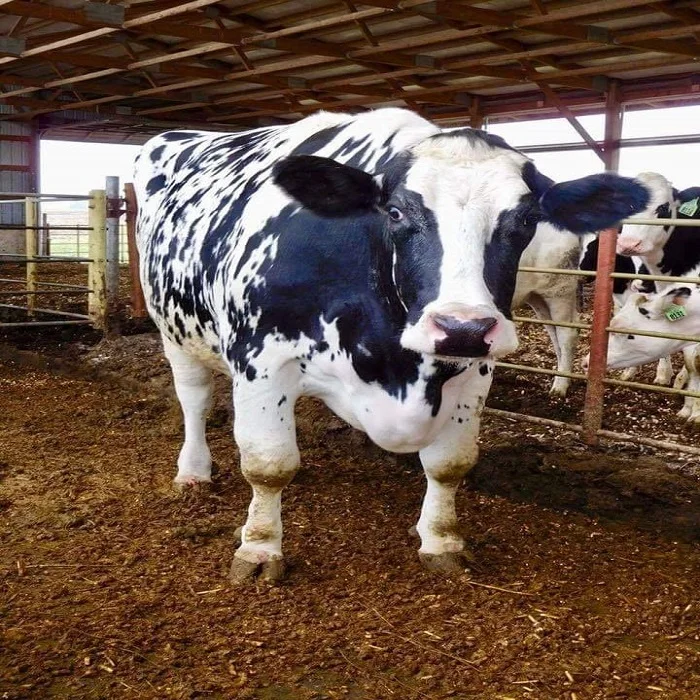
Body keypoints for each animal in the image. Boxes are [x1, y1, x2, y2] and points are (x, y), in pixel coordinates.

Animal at [134, 107, 648, 584]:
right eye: (396, 212)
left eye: (526, 218)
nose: (462, 327)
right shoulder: (261, 361)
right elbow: (268, 464)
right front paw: (260, 549)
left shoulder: (474, 372)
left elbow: (450, 463)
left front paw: (441, 540)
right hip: (174, 330)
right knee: (195, 399)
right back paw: (194, 470)